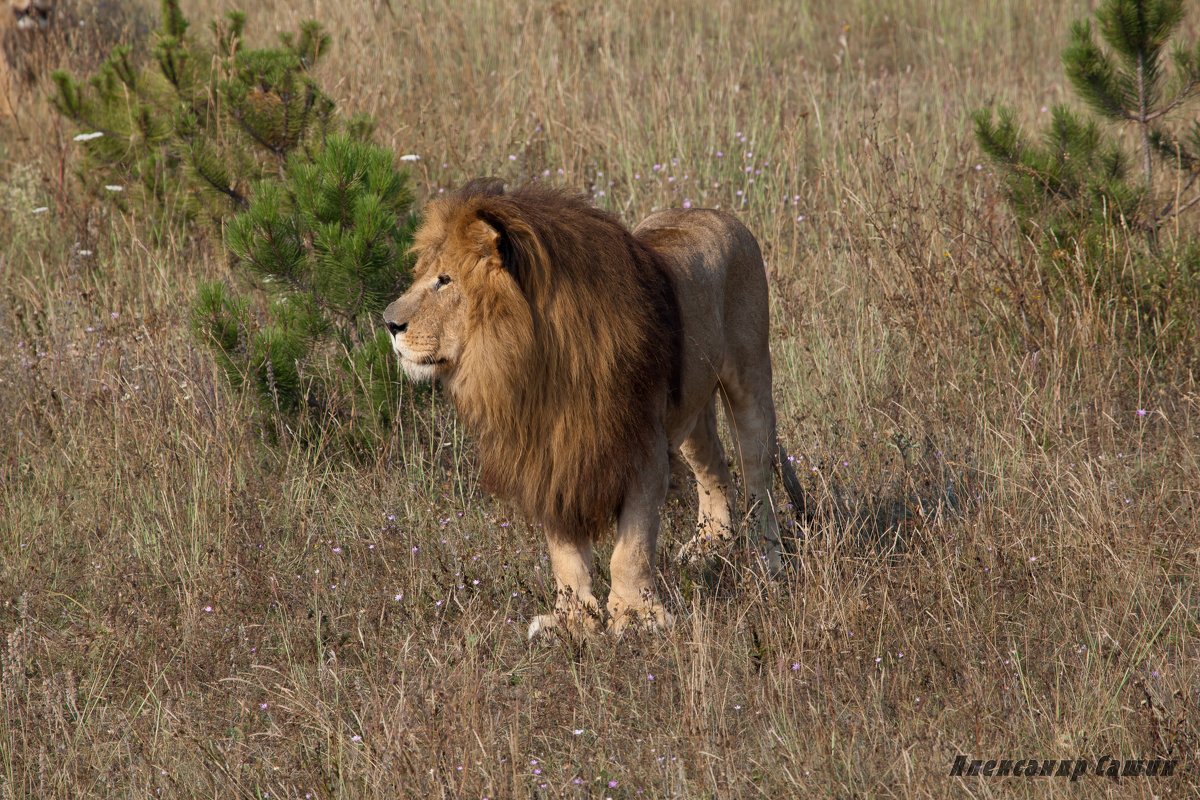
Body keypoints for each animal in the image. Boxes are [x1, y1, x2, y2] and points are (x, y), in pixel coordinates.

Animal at [384, 179, 806, 638]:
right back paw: (710, 545)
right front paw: (573, 621)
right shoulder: (552, 457)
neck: (532, 366)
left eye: (444, 280)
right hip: (690, 410)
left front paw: (635, 616)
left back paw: (767, 561)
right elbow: (565, 554)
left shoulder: (641, 450)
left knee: (758, 478)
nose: (388, 323)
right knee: (713, 468)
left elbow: (631, 549)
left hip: (750, 379)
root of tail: (716, 213)